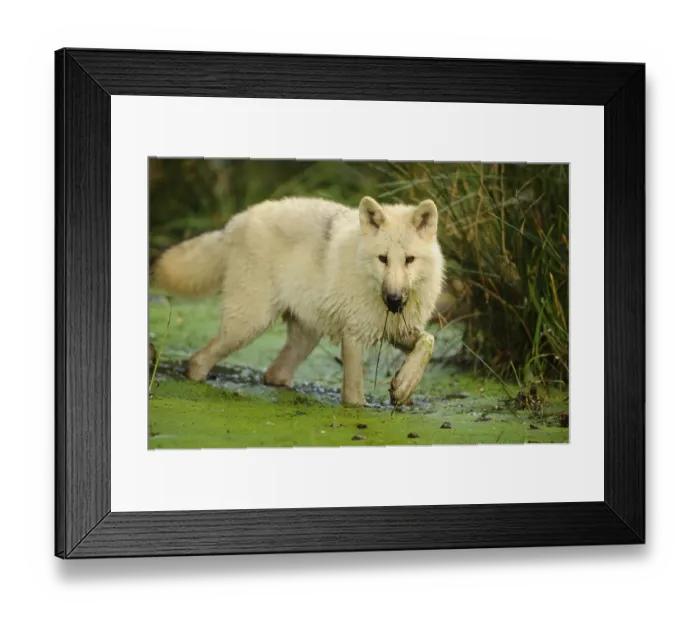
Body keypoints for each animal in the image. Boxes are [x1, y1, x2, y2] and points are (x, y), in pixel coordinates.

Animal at [152, 196, 445, 406]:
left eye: (409, 260)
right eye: (383, 259)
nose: (394, 301)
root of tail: (236, 222)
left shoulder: (397, 330)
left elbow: (428, 340)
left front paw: (404, 386)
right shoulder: (354, 337)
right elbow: (354, 399)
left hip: (305, 337)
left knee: (274, 374)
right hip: (247, 327)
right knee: (197, 362)